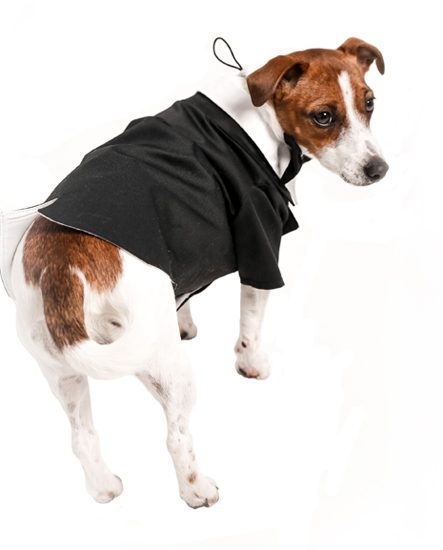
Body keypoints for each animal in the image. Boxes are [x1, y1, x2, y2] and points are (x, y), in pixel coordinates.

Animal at [0, 37, 388, 508]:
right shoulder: (260, 243)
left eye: (370, 104)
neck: (259, 118)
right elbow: (251, 322)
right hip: (169, 370)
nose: (379, 169)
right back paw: (196, 488)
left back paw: (104, 487)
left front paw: (186, 321)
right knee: (176, 435)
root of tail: (65, 268)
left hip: (61, 369)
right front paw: (251, 363)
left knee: (82, 436)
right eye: (324, 116)